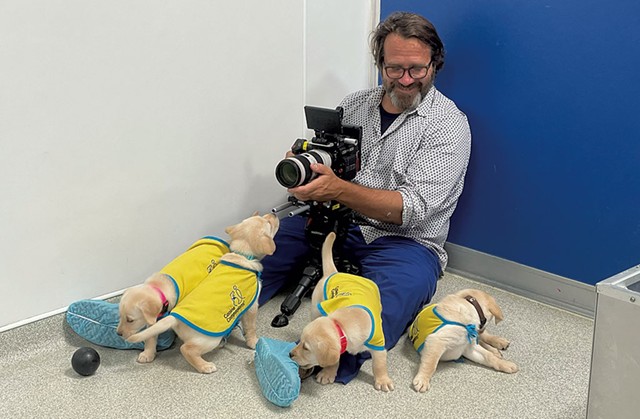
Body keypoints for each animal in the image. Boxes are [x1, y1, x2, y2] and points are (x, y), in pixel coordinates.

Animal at [116, 236, 229, 364]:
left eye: (130, 320)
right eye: (120, 316)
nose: (118, 333)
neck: (159, 286)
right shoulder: (154, 318)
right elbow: (150, 335)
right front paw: (148, 353)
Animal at [290, 231, 396, 392]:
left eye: (306, 347)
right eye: (300, 341)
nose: (290, 354)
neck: (344, 323)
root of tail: (334, 272)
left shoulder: (377, 343)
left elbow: (379, 363)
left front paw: (383, 380)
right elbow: (334, 360)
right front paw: (328, 373)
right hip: (316, 307)